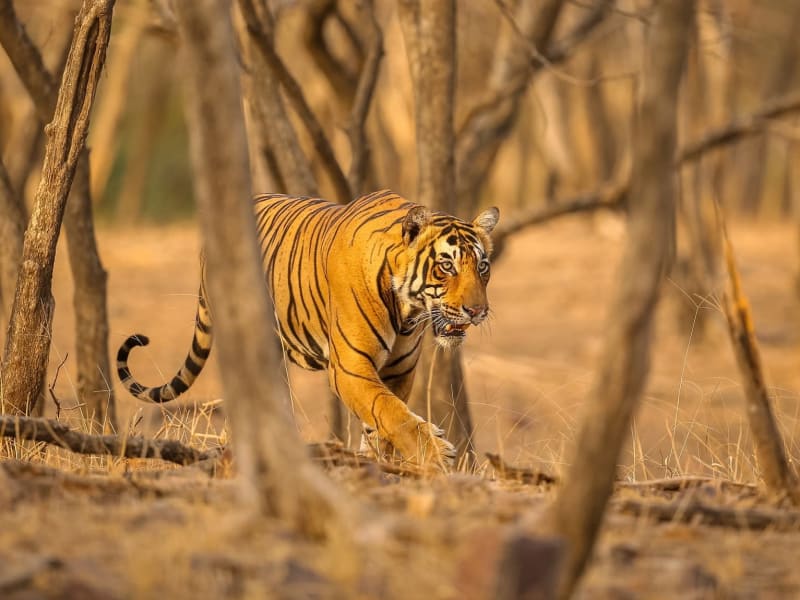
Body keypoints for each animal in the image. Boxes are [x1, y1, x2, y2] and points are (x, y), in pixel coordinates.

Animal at [117, 190, 499, 469]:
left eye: (482, 266)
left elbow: (383, 417)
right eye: (446, 266)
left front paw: (381, 462)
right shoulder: (349, 368)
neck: (408, 311)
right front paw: (437, 453)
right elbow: (392, 413)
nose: (477, 311)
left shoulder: (399, 370)